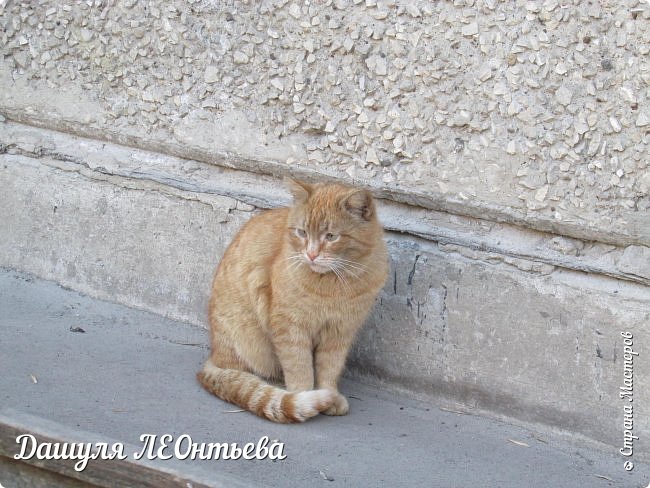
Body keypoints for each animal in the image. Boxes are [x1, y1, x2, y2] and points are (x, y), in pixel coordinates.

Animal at [197, 179, 388, 424]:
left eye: (331, 236)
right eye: (302, 232)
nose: (311, 255)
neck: (334, 285)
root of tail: (213, 356)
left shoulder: (339, 333)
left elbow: (329, 369)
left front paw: (330, 395)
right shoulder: (290, 328)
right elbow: (299, 367)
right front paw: (304, 395)